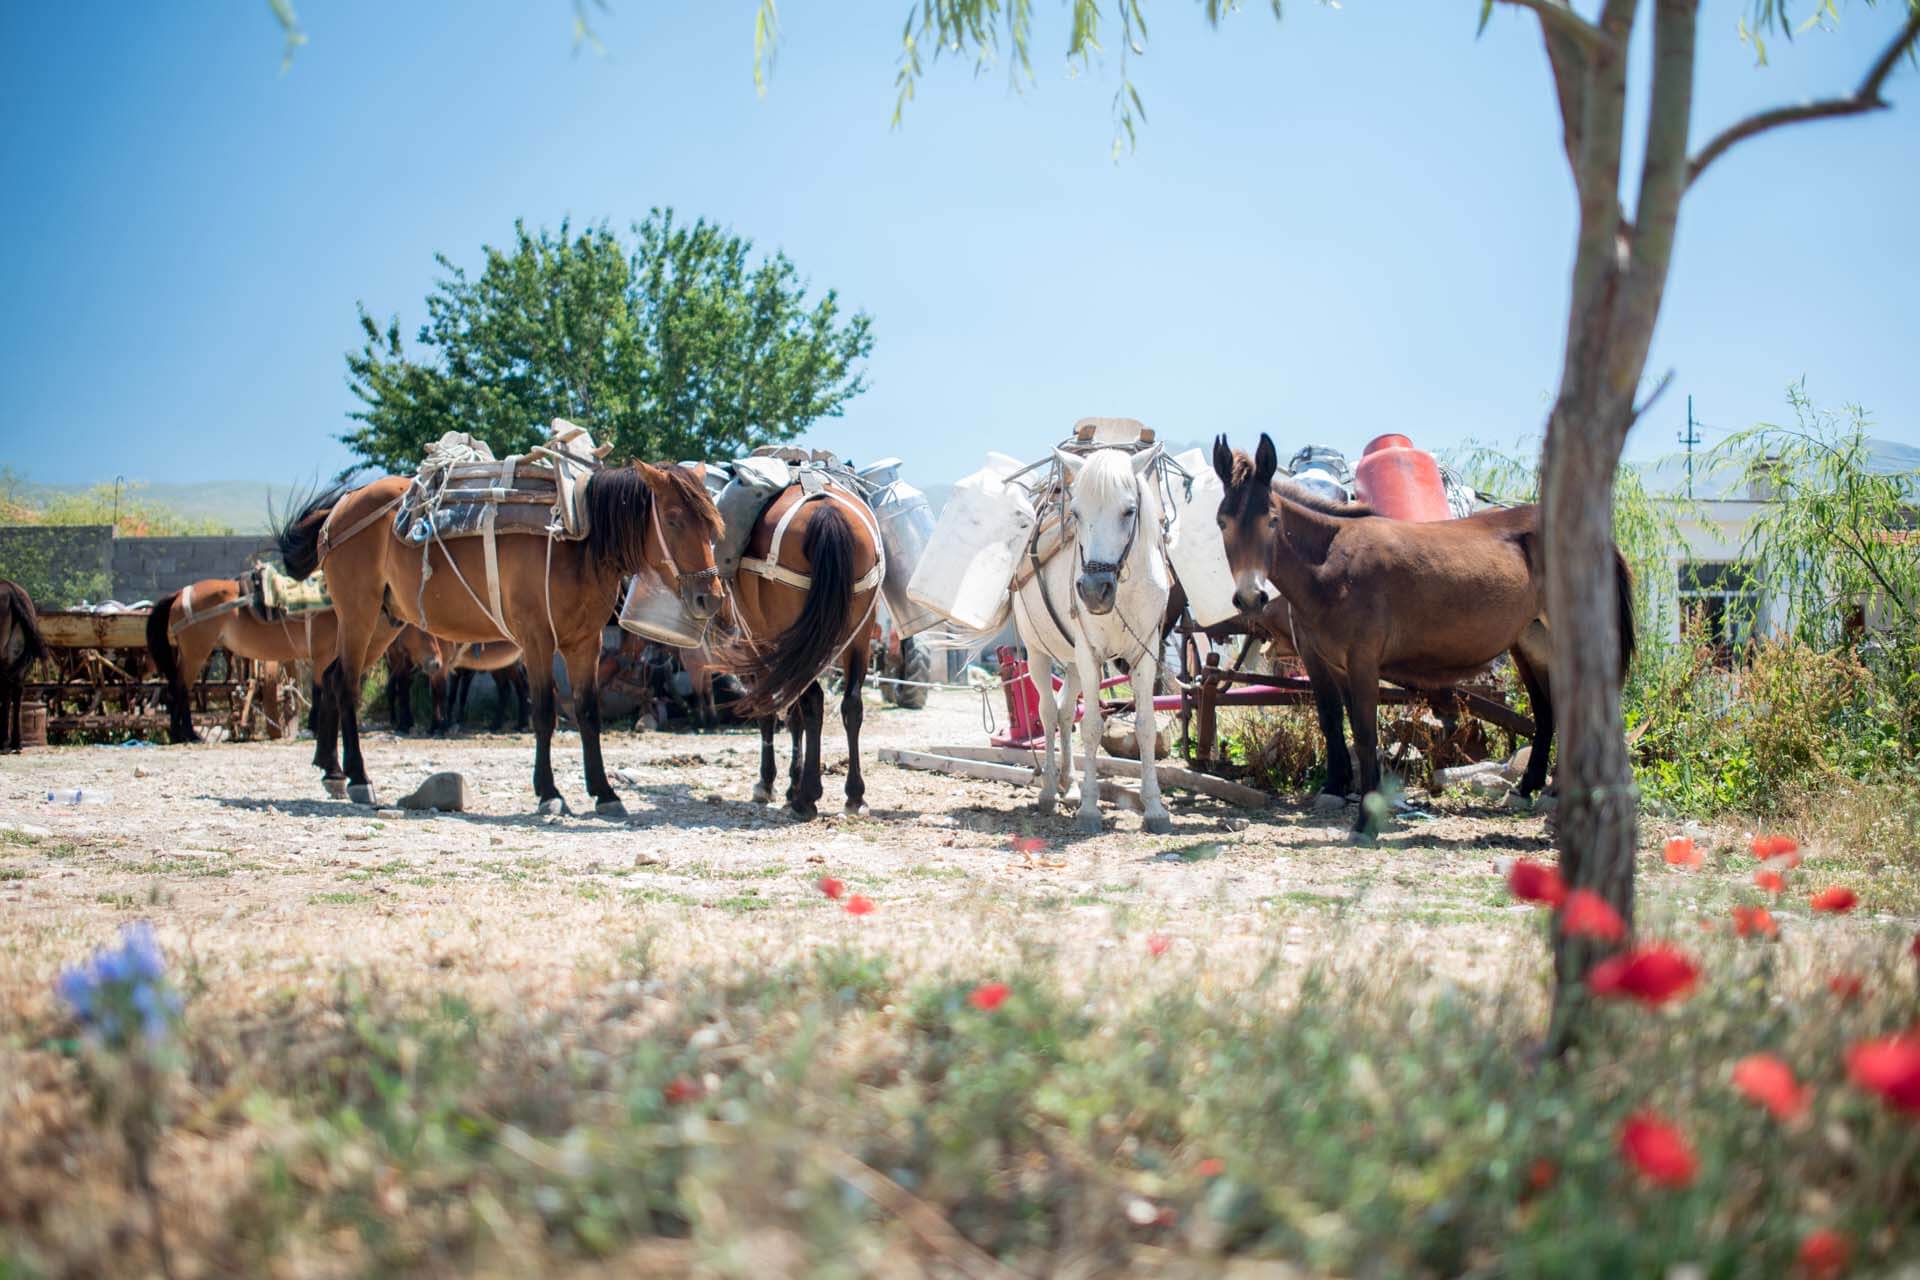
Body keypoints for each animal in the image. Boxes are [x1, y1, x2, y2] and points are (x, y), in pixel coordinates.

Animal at [284, 466, 725, 817]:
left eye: (711, 524)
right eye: (673, 519)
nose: (711, 597)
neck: (577, 540)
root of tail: (340, 509)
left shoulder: (585, 643)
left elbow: (588, 714)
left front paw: (604, 792)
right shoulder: (536, 639)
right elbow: (543, 712)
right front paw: (549, 792)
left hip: (383, 622)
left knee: (332, 676)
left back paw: (332, 770)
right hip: (358, 614)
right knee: (346, 685)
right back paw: (358, 777)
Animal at [721, 479, 887, 821]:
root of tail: (825, 510)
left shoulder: (761, 648)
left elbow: (774, 711)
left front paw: (772, 785)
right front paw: (790, 786)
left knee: (812, 701)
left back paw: (807, 797)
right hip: (859, 633)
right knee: (852, 703)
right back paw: (854, 795)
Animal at [1006, 445, 1167, 836]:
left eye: (1129, 510)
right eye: (1076, 513)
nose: (1094, 590)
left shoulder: (1144, 654)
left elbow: (1145, 727)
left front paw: (1155, 808)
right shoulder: (1090, 654)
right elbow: (1092, 726)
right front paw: (1091, 809)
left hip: (1072, 661)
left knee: (1065, 715)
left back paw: (1070, 786)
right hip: (1039, 655)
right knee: (1049, 714)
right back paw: (1050, 790)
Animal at [1213, 433, 1635, 832]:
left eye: (1271, 520)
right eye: (1222, 522)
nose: (1250, 597)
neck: (1331, 563)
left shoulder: (1362, 660)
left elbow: (1364, 735)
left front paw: (1366, 823)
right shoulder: (1330, 662)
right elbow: (1335, 721)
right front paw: (1345, 794)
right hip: (1530, 640)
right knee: (1551, 708)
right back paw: (1534, 789)